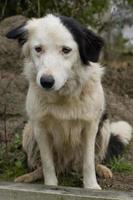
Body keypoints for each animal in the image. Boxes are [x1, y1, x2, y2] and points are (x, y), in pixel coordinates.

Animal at [6, 14, 132, 189]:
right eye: (38, 49)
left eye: (66, 50)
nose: (46, 82)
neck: (63, 95)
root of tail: (67, 165)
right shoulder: (40, 127)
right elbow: (47, 164)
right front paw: (50, 186)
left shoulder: (91, 126)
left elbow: (88, 162)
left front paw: (91, 187)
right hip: (29, 130)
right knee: (40, 165)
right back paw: (30, 176)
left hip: (104, 126)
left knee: (92, 161)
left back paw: (102, 169)